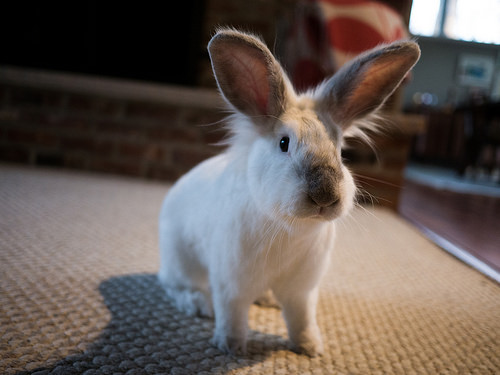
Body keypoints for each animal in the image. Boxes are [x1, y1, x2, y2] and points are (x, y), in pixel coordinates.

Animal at [158, 27, 420, 356]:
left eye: (339, 149)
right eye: (284, 143)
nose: (325, 195)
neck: (290, 229)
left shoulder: (303, 289)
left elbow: (301, 317)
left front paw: (310, 348)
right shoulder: (231, 282)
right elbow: (232, 314)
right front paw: (231, 346)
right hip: (182, 261)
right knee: (174, 284)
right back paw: (197, 304)